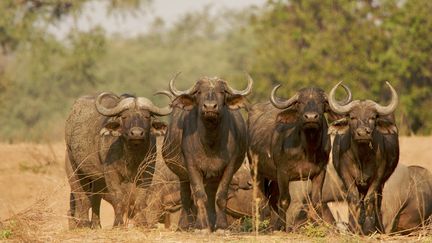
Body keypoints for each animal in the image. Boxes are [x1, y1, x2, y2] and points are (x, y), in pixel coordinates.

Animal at [65, 92, 171, 229]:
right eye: (124, 117)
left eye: (147, 116)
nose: (137, 133)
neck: (132, 155)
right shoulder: (111, 174)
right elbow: (118, 198)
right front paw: (118, 223)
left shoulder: (147, 172)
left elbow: (141, 199)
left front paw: (143, 223)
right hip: (74, 169)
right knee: (82, 198)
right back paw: (83, 223)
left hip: (98, 178)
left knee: (95, 198)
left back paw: (96, 224)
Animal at [160, 75, 251, 231]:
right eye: (199, 92)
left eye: (222, 92)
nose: (209, 107)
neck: (210, 143)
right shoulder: (192, 167)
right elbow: (199, 196)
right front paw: (201, 226)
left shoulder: (229, 167)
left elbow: (220, 197)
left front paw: (221, 226)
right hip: (182, 176)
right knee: (186, 197)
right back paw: (184, 225)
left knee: (212, 194)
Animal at [246, 84, 352, 231]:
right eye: (300, 102)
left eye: (322, 102)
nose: (311, 117)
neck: (308, 149)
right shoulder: (283, 173)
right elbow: (285, 200)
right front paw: (283, 227)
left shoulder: (320, 172)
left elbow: (316, 201)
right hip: (256, 171)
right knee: (261, 199)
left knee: (272, 199)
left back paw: (273, 225)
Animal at [330, 81, 400, 234]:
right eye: (352, 117)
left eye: (373, 117)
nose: (362, 133)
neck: (361, 157)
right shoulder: (346, 176)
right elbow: (353, 198)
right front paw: (353, 228)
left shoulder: (378, 176)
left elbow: (370, 199)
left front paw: (369, 229)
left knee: (377, 200)